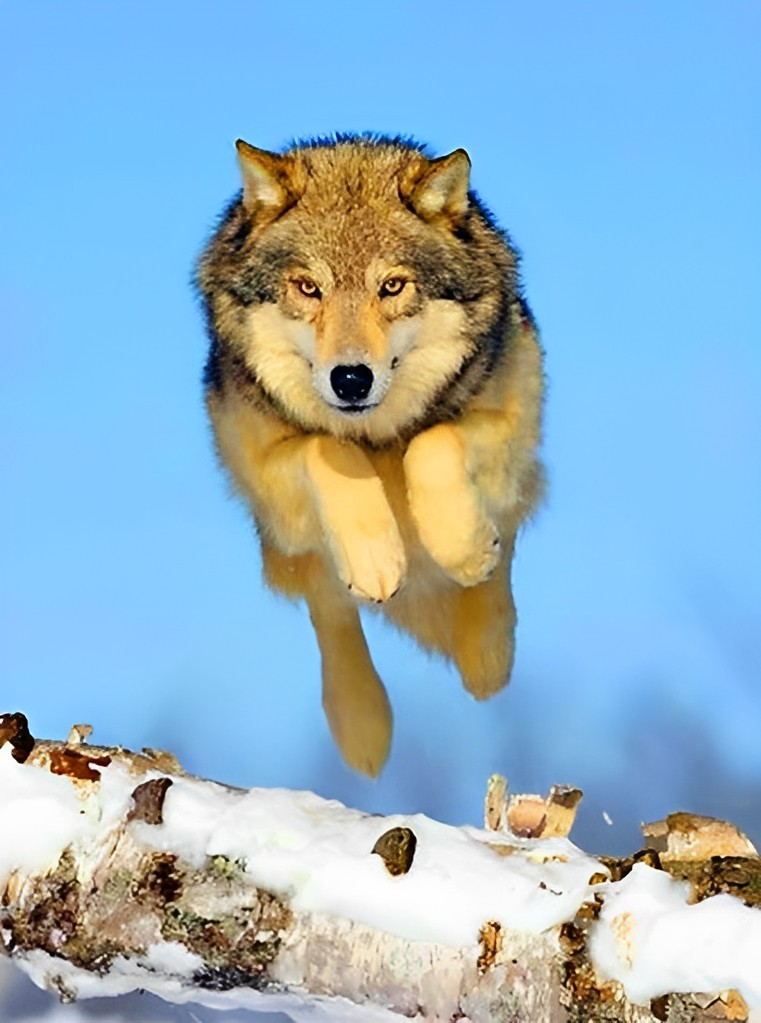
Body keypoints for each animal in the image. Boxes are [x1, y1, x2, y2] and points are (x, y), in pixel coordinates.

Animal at [197, 134, 543, 776]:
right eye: (309, 287)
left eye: (392, 286)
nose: (352, 379)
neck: (377, 437)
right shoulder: (265, 470)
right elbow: (324, 443)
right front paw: (378, 559)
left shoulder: (509, 418)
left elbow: (431, 442)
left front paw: (462, 551)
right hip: (291, 549)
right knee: (332, 609)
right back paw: (362, 724)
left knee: (500, 550)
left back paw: (485, 649)